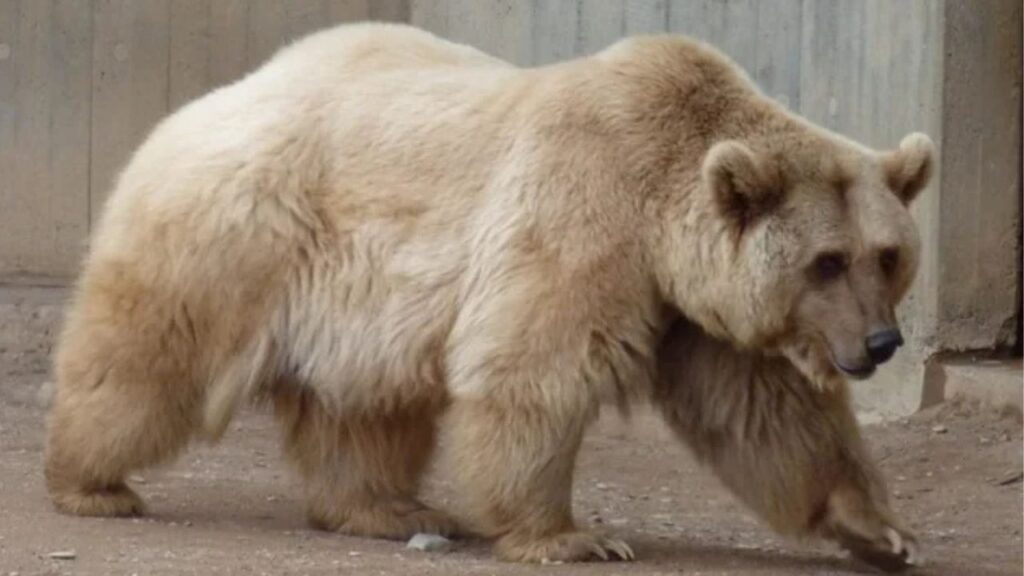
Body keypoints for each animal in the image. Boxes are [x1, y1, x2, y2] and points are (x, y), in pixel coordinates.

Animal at [44, 22, 934, 569]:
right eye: (827, 261)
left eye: (887, 255)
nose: (881, 343)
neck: (662, 212)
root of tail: (203, 101)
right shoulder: (586, 214)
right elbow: (535, 368)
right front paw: (574, 537)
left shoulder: (691, 308)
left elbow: (765, 411)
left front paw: (881, 530)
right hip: (239, 232)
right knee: (148, 358)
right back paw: (89, 481)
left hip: (357, 302)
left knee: (364, 408)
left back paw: (391, 507)